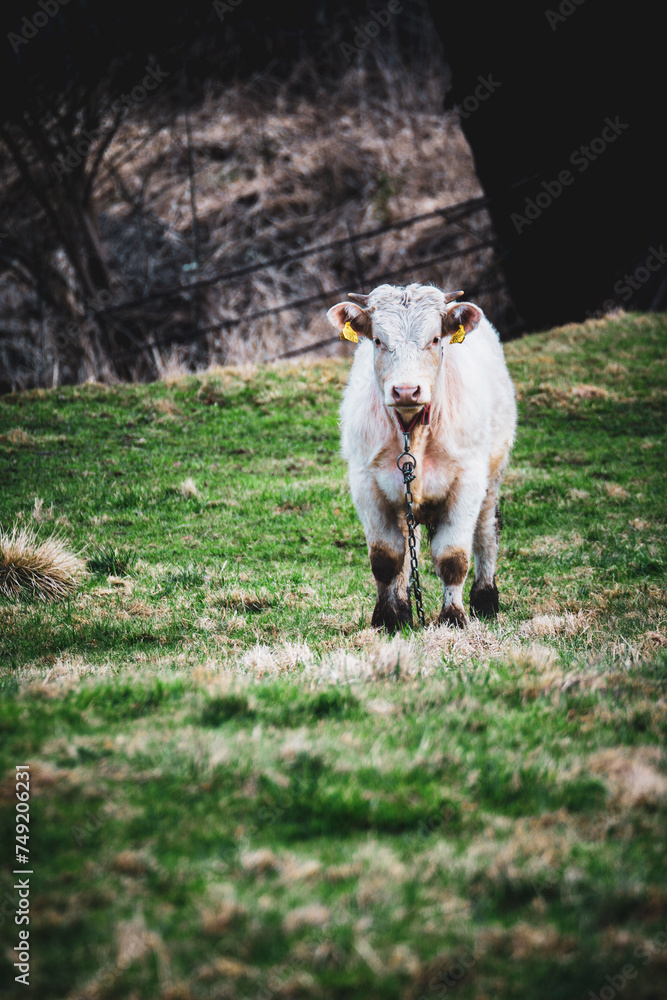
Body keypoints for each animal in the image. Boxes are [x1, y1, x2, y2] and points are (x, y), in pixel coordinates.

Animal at [326, 282, 516, 632]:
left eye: (436, 339)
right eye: (378, 340)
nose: (405, 390)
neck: (410, 432)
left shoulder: (467, 483)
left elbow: (453, 556)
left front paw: (453, 617)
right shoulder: (366, 485)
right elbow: (386, 558)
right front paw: (389, 618)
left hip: (491, 479)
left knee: (486, 532)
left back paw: (485, 599)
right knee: (406, 544)